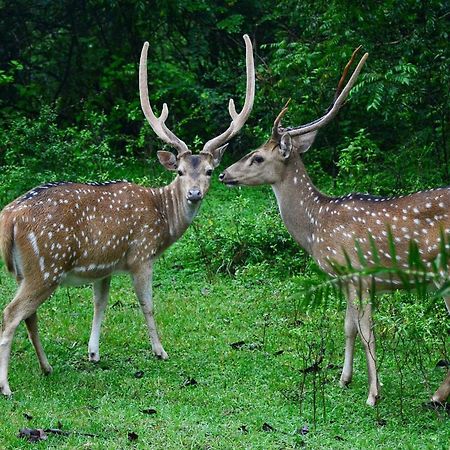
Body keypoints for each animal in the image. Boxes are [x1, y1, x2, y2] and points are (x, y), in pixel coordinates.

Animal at [0, 35, 255, 396]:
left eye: (208, 171)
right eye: (179, 171)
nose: (194, 194)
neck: (163, 217)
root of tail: (9, 217)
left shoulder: (104, 265)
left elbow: (100, 303)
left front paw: (93, 353)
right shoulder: (141, 254)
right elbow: (147, 304)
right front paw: (160, 350)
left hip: (23, 270)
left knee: (29, 315)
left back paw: (47, 367)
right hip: (46, 265)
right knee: (11, 313)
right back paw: (7, 386)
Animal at [219, 47, 450, 406]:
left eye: (256, 157)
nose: (223, 174)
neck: (317, 224)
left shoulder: (359, 271)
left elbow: (367, 330)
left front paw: (373, 394)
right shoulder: (343, 277)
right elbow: (348, 326)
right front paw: (343, 379)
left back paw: (437, 395)